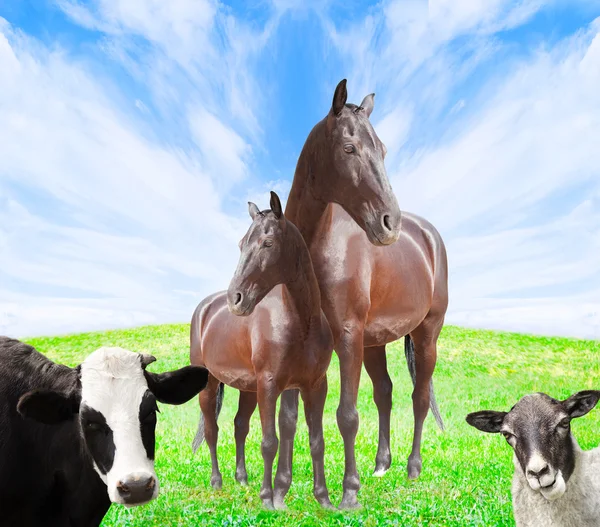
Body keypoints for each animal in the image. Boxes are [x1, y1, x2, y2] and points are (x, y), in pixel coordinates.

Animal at [191, 192, 336, 510]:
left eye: (267, 243)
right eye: (240, 244)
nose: (236, 299)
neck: (301, 322)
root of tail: (205, 308)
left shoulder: (314, 386)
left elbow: (316, 441)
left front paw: (324, 499)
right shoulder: (269, 386)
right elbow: (270, 442)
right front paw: (268, 499)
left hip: (247, 388)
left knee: (239, 426)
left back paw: (242, 479)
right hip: (210, 384)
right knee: (212, 430)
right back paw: (217, 481)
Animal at [230, 80, 446, 510]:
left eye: (383, 150)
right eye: (349, 148)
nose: (389, 222)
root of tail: (429, 235)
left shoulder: (346, 337)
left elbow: (346, 414)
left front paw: (348, 493)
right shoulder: (315, 348)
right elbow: (290, 418)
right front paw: (282, 489)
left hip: (426, 333)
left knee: (419, 396)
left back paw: (412, 468)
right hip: (374, 342)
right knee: (385, 393)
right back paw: (381, 465)